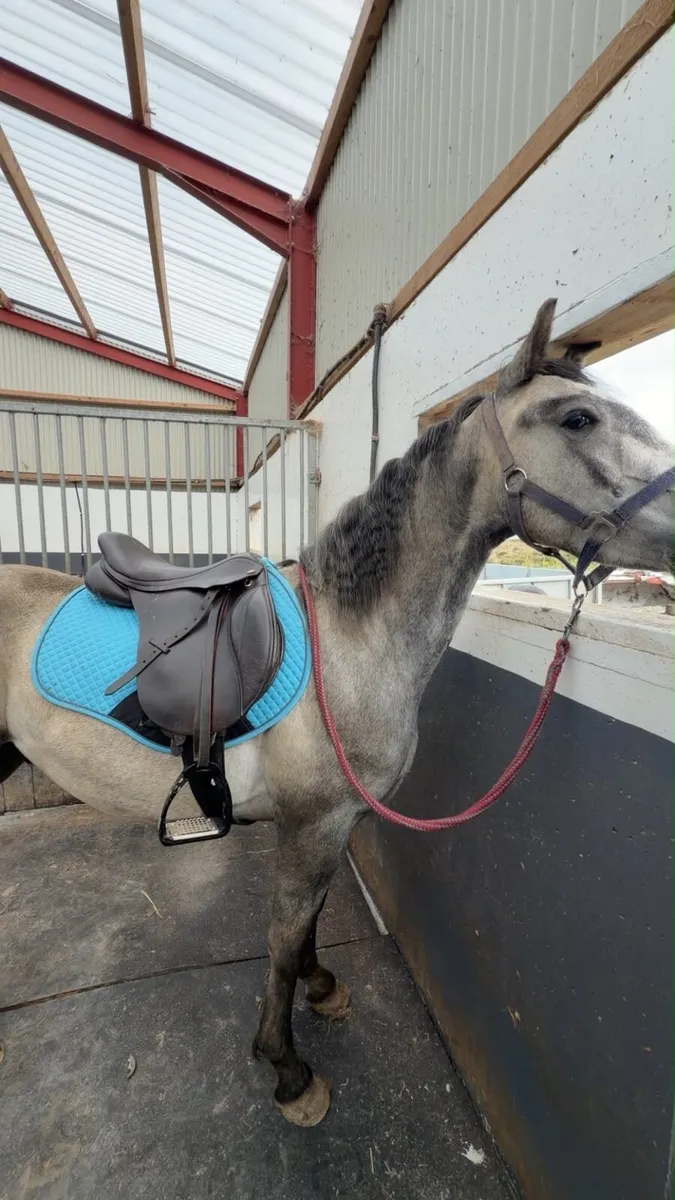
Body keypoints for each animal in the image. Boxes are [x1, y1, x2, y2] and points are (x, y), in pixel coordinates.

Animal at [0, 299, 672, 1126]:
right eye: (577, 418)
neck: (353, 637)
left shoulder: (335, 820)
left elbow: (312, 921)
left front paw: (320, 989)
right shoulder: (312, 824)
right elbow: (286, 933)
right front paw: (287, 1069)